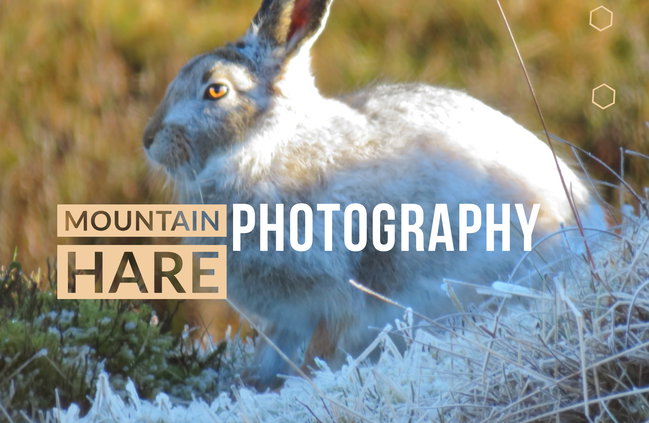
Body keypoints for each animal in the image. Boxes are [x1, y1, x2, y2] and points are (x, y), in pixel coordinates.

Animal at [143, 0, 607, 389]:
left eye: (216, 90)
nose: (148, 140)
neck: (263, 149)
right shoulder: (286, 318)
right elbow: (272, 353)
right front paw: (249, 383)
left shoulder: (335, 295)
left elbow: (323, 347)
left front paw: (302, 383)